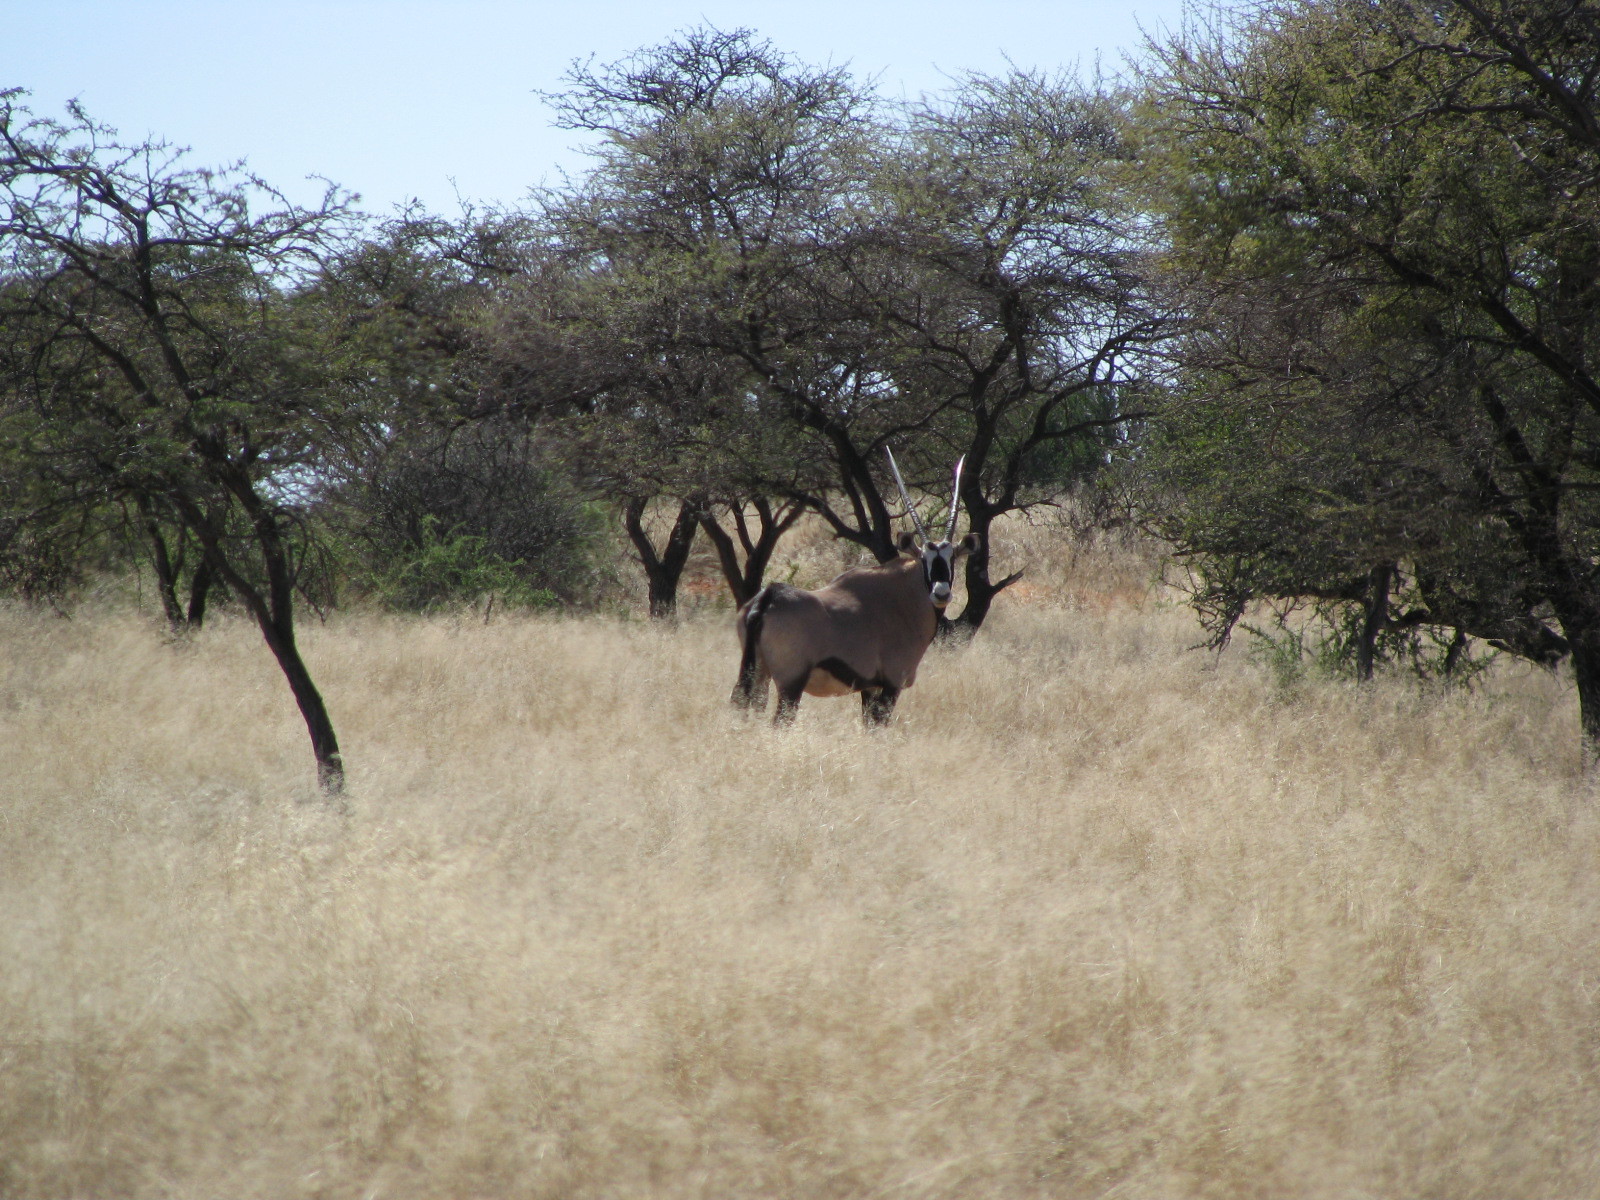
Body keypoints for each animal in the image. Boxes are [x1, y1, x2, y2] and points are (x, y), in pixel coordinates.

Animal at [732, 451, 979, 729]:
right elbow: (879, 725)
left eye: (952, 559)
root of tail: (768, 597)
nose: (941, 593)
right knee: (780, 721)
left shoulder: (869, 687)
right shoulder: (891, 684)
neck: (901, 598)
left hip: (758, 673)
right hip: (790, 681)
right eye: (924, 559)